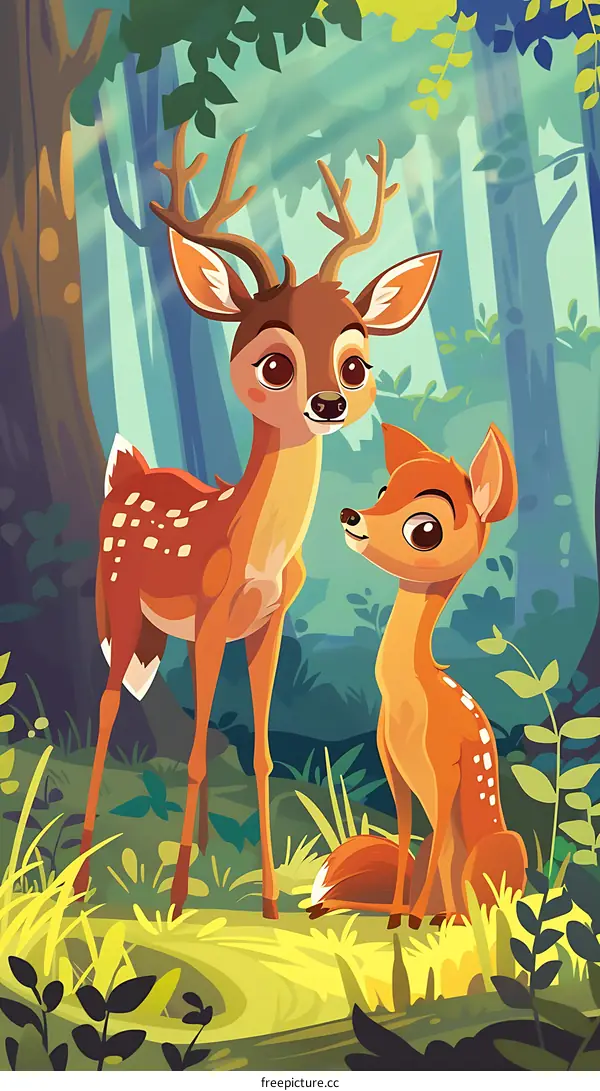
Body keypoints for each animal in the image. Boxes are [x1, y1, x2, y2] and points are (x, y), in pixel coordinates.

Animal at [73, 123, 442, 919]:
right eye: (274, 363)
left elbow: (264, 751)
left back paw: (203, 851)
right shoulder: (211, 616)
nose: (329, 403)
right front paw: (178, 904)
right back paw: (84, 874)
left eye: (357, 363)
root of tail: (127, 472)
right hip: (120, 603)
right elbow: (190, 755)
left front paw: (270, 905)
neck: (256, 552)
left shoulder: (268, 622)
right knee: (110, 702)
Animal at [308, 423, 528, 928]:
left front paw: (412, 921)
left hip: (502, 849)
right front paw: (396, 916)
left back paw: (452, 916)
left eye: (425, 530)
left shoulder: (444, 767)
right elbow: (406, 824)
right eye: (383, 490)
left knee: (484, 892)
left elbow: (441, 833)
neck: (409, 699)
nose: (350, 514)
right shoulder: (390, 759)